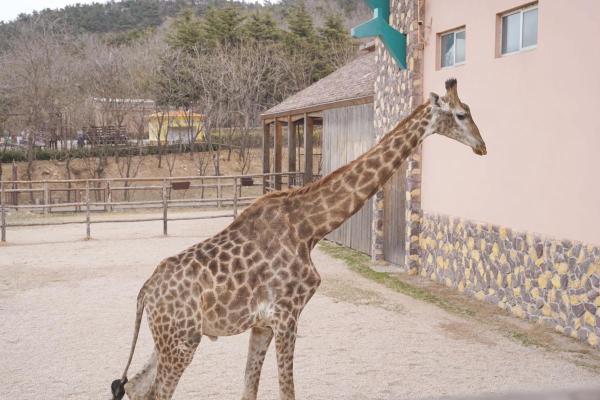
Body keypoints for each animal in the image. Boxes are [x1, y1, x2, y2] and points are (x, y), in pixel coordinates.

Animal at [110, 79, 486, 400]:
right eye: (460, 114)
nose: (482, 146)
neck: (309, 228)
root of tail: (145, 292)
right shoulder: (287, 314)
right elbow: (287, 391)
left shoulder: (263, 324)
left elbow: (250, 390)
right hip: (182, 339)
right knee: (157, 392)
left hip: (171, 338)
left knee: (137, 387)